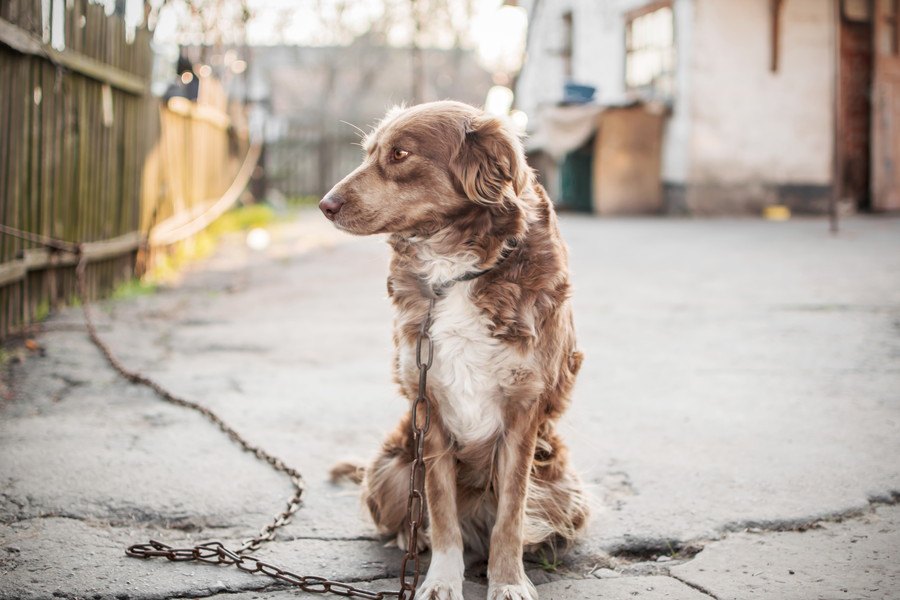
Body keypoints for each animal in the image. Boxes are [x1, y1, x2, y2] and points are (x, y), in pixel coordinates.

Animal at [320, 102, 588, 600]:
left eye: (400, 154)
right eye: (370, 153)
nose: (324, 205)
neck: (455, 270)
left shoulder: (522, 409)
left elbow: (511, 514)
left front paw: (508, 581)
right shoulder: (431, 408)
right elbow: (441, 510)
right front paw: (441, 580)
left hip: (563, 486)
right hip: (392, 468)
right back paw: (413, 539)